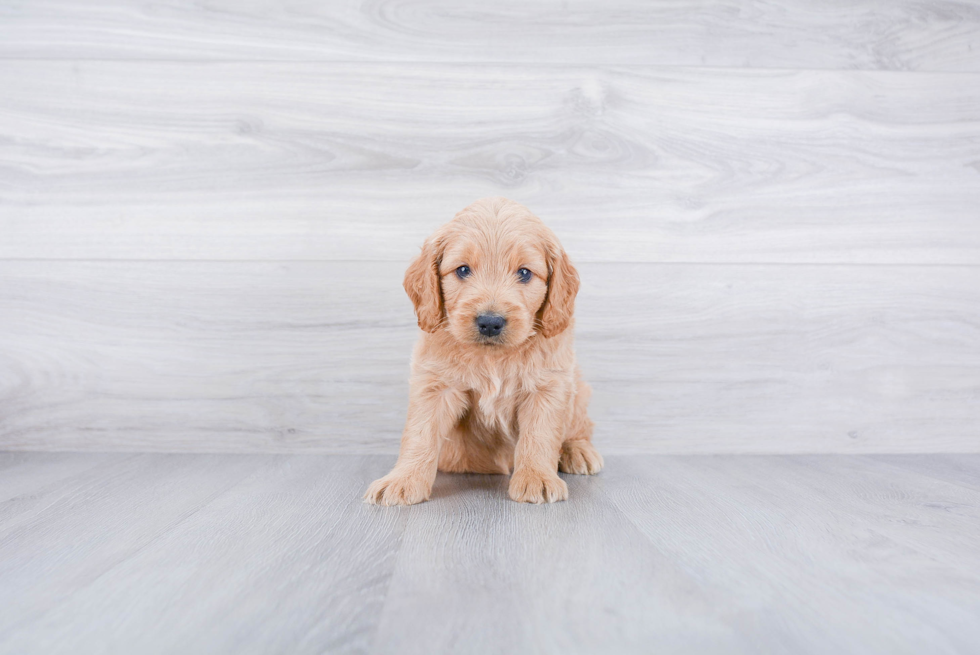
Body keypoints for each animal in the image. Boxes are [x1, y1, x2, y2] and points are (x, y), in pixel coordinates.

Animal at [364, 199, 600, 508]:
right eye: (463, 270)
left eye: (524, 273)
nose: (490, 322)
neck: (493, 358)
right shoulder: (434, 384)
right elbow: (420, 433)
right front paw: (402, 480)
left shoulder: (548, 385)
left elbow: (539, 435)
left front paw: (537, 478)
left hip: (578, 388)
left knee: (579, 427)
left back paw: (578, 451)